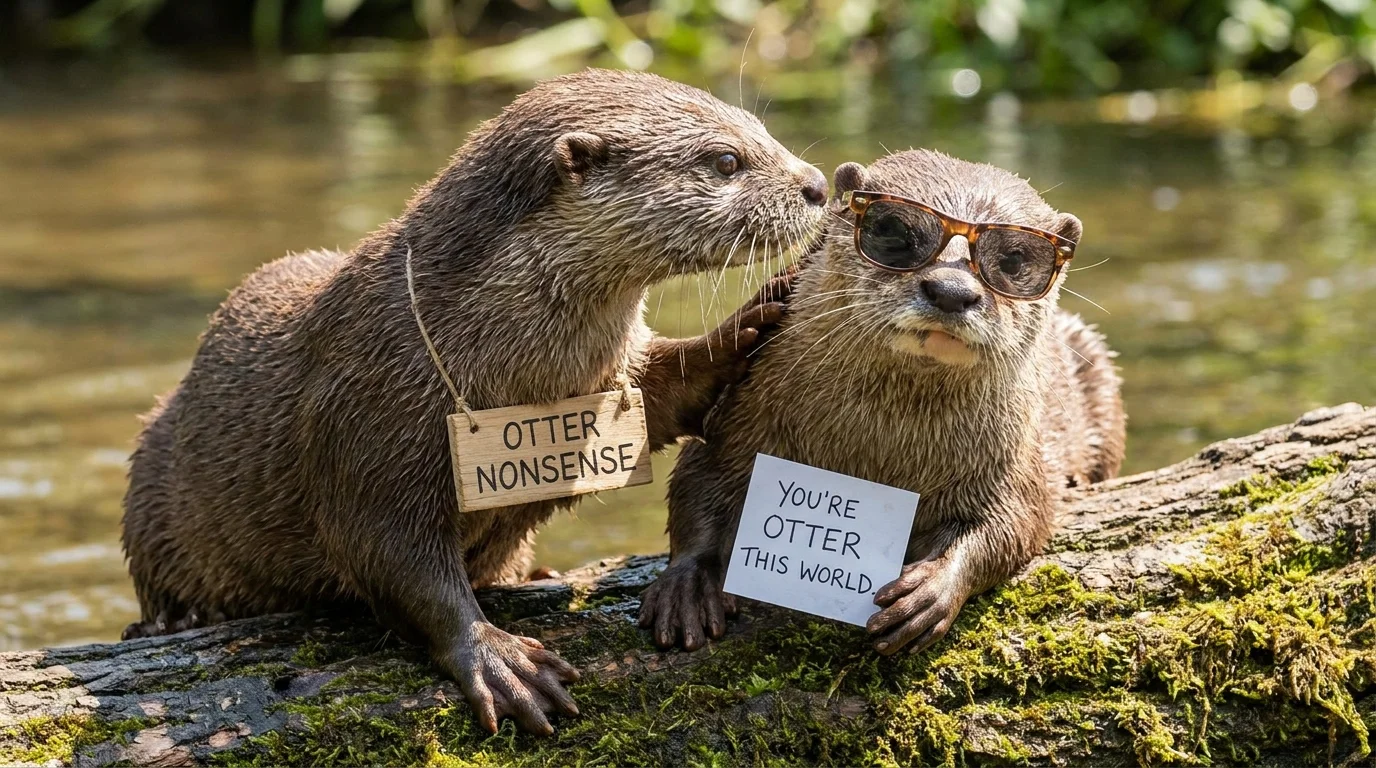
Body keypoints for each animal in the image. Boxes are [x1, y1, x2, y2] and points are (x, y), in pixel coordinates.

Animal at [120, 69, 828, 735]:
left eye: (763, 130)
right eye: (726, 160)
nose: (818, 184)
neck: (512, 366)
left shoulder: (612, 380)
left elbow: (665, 393)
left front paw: (751, 322)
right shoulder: (367, 420)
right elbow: (393, 559)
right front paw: (497, 658)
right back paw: (172, 623)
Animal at [639, 149, 1125, 655]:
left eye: (1013, 260)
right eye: (894, 232)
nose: (952, 291)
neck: (878, 454)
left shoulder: (1014, 459)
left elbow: (1016, 522)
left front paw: (932, 589)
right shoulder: (737, 416)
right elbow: (696, 482)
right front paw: (689, 585)